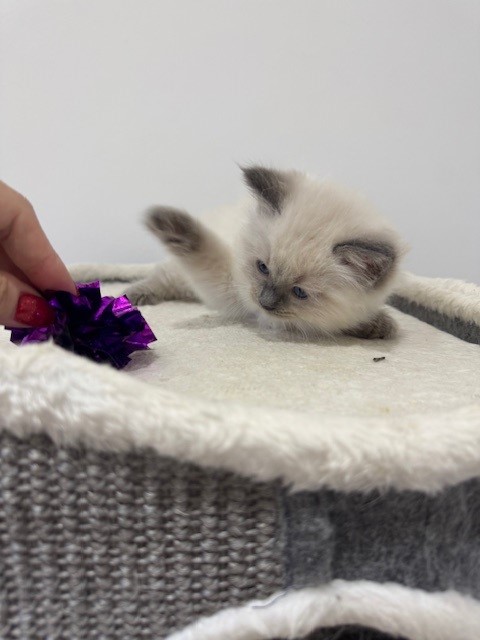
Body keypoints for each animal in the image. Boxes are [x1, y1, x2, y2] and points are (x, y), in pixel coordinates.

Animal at [125, 169, 404, 340]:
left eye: (299, 292)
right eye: (262, 267)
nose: (264, 302)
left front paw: (377, 325)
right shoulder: (229, 285)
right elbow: (205, 252)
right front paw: (167, 223)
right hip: (181, 275)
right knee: (164, 277)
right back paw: (132, 297)